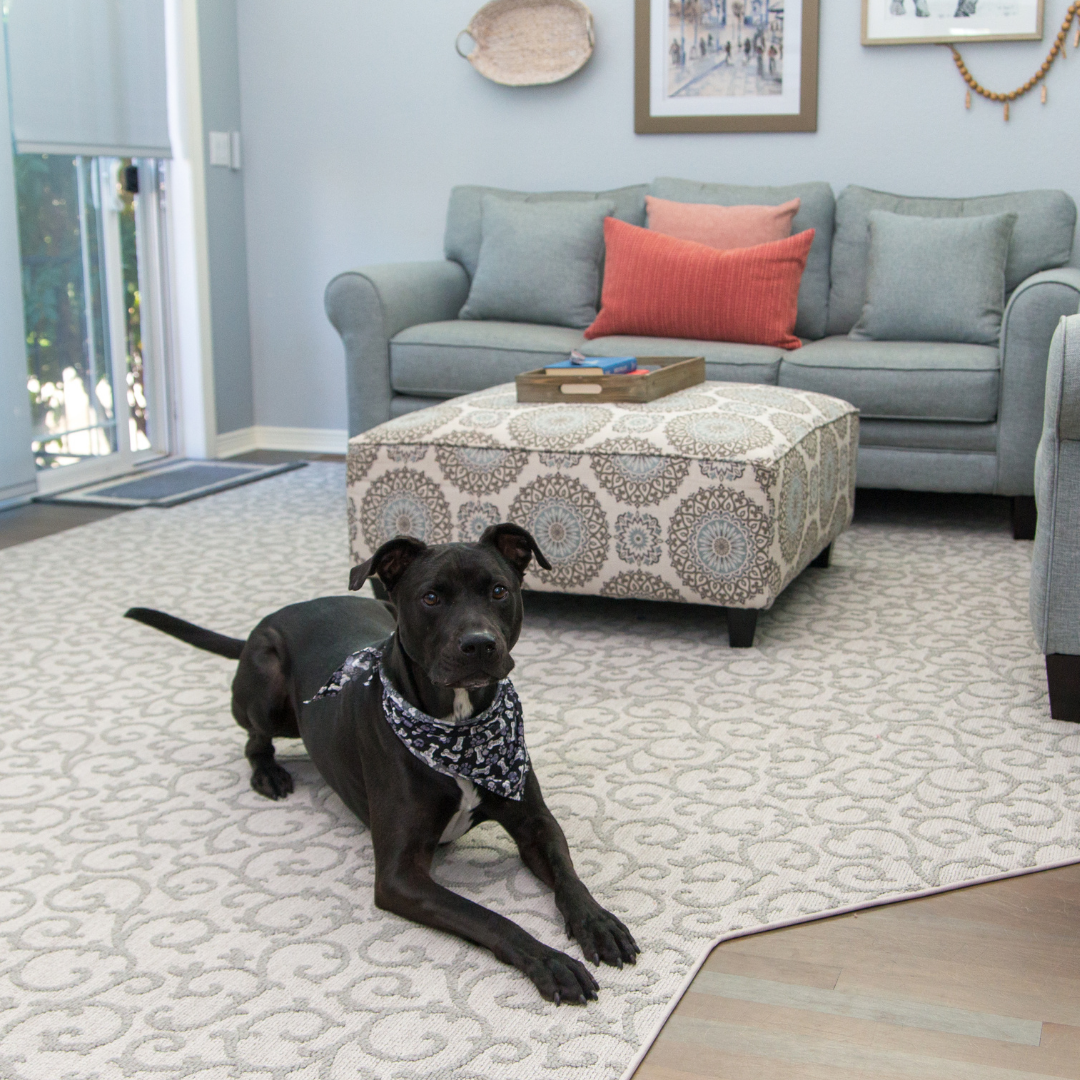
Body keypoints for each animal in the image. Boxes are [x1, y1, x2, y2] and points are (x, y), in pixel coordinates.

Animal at [125, 522, 635, 1002]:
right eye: (431, 597)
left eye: (498, 591)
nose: (479, 644)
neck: (457, 726)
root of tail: (278, 614)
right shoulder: (399, 875)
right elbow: (489, 917)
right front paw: (551, 961)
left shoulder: (534, 821)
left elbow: (569, 876)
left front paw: (598, 923)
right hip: (267, 687)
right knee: (254, 738)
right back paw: (268, 773)